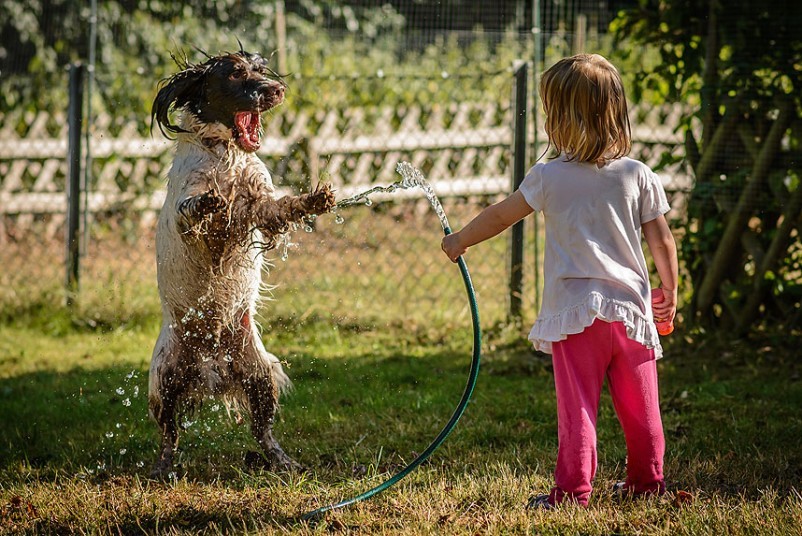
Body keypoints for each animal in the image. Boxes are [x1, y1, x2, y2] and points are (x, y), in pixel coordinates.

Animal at [147, 49, 332, 478]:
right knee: (169, 433)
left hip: (260, 374)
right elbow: (192, 209)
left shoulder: (259, 203)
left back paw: (283, 461)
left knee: (262, 430)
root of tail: (211, 369)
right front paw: (209, 202)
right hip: (165, 378)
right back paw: (164, 466)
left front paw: (314, 199)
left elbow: (279, 206)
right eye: (234, 74)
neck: (225, 154)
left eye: (261, 70)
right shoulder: (188, 213)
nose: (277, 89)